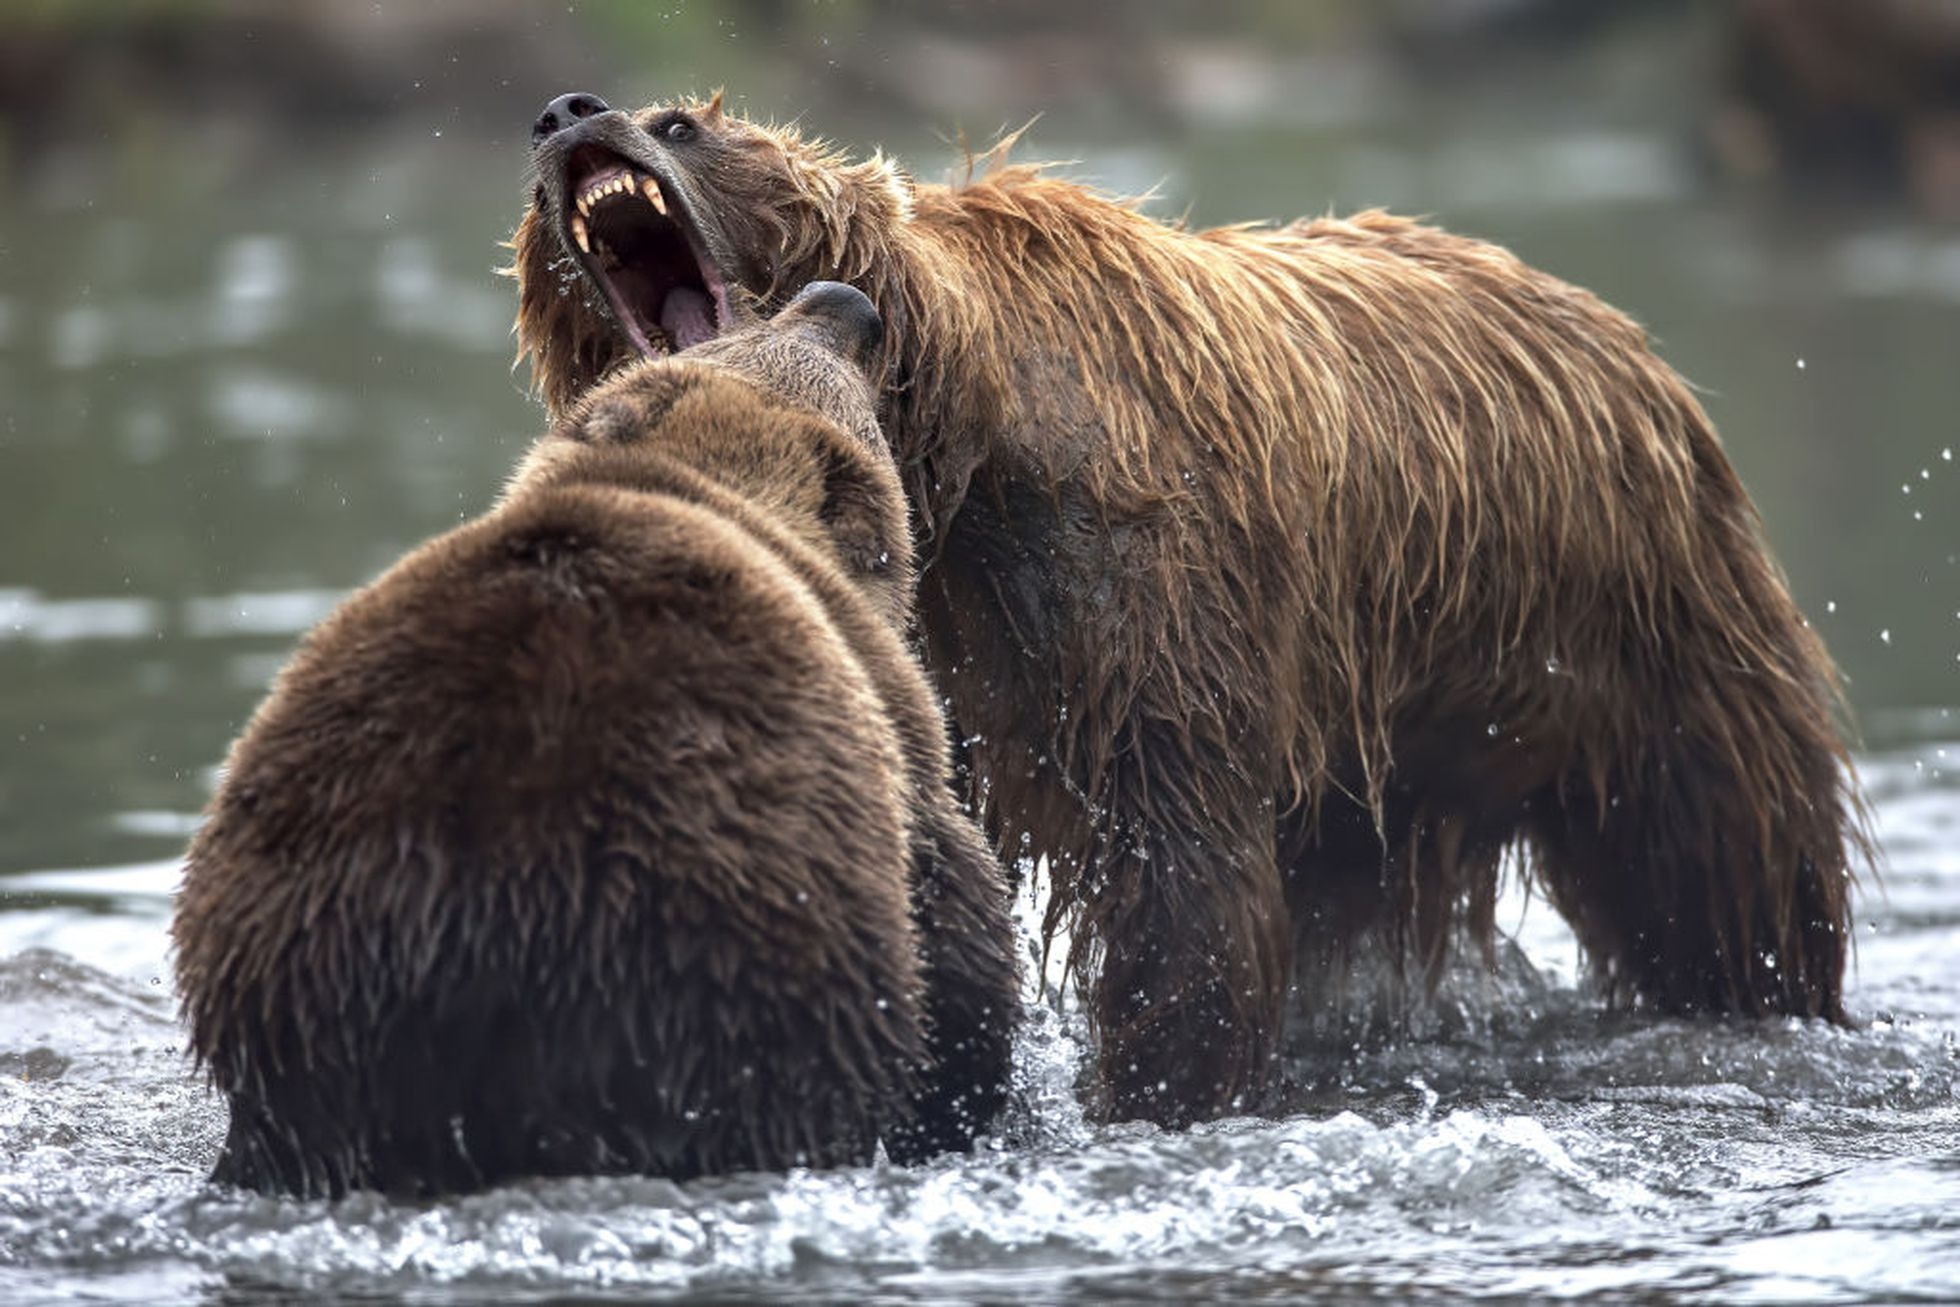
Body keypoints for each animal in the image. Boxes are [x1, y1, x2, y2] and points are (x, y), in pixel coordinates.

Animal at [174, 284, 1019, 1199]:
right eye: (846, 381)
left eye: (761, 326)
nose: (843, 300)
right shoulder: (892, 728)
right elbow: (963, 923)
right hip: (723, 946)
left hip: (302, 970)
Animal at [509, 92, 1865, 1128]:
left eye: (682, 121)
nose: (568, 112)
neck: (950, 440)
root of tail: (1627, 339)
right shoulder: (935, 643)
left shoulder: (1133, 590)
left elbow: (1179, 869)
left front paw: (1152, 1086)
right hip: (1385, 745)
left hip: (1632, 633)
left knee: (1719, 869)